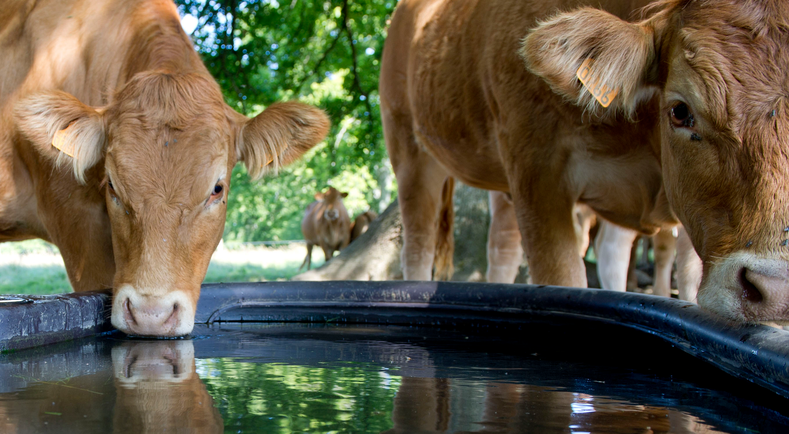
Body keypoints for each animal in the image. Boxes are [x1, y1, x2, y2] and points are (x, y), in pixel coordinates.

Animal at [382, 0, 789, 324]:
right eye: (680, 111)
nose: (778, 290)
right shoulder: (538, 173)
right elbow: (564, 281)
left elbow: (680, 279)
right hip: (410, 149)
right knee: (418, 245)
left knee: (507, 248)